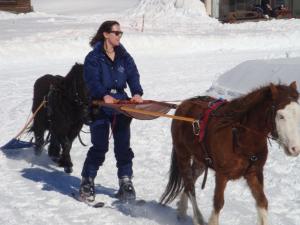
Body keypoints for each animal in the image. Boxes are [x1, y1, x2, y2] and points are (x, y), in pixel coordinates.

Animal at [161, 81, 300, 225]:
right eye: (281, 116)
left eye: (298, 114)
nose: (295, 148)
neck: (241, 137)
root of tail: (183, 105)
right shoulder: (221, 175)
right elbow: (218, 203)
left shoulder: (253, 173)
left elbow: (262, 202)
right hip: (182, 154)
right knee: (189, 186)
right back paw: (197, 218)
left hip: (200, 161)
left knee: (190, 181)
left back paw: (182, 210)